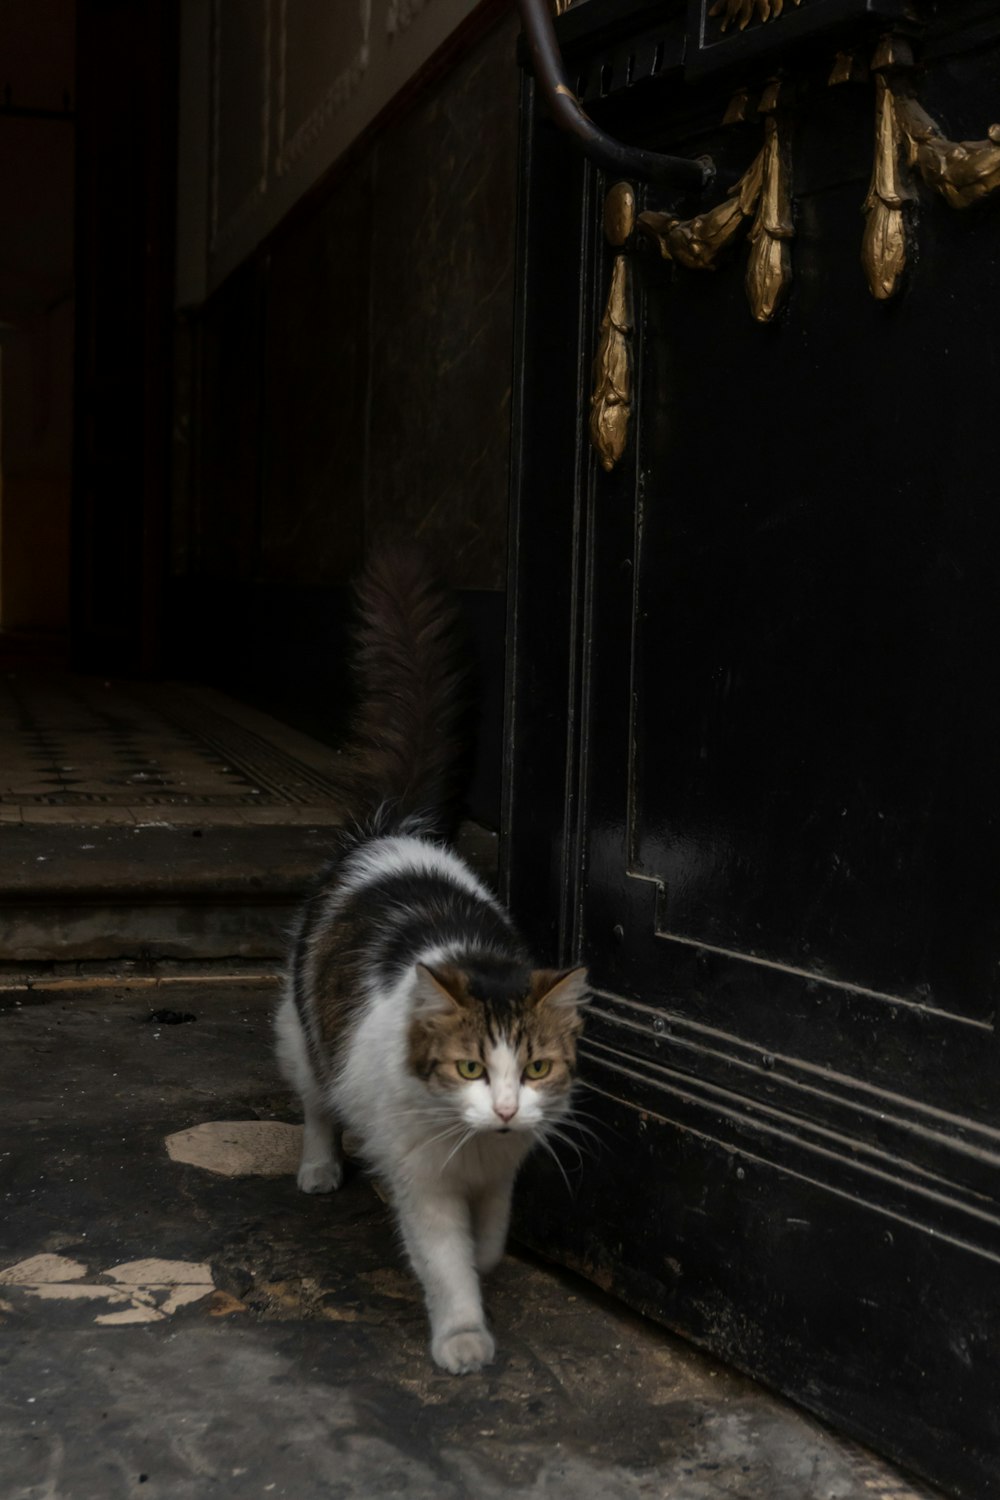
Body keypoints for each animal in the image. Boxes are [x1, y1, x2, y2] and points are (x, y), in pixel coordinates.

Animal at [274, 549, 587, 1374]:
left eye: (536, 1069)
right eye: (470, 1068)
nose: (506, 1110)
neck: (475, 1149)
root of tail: (393, 831)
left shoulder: (503, 1173)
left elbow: (490, 1241)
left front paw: (485, 1261)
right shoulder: (424, 1184)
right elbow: (445, 1263)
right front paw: (463, 1337)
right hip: (303, 1033)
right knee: (317, 1103)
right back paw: (319, 1166)